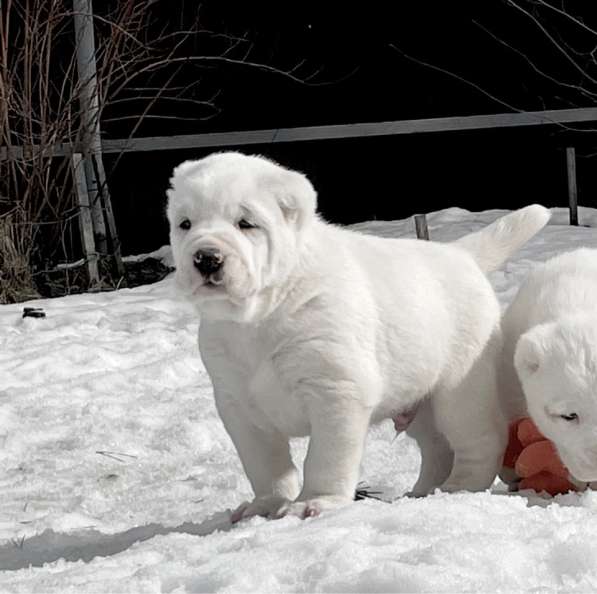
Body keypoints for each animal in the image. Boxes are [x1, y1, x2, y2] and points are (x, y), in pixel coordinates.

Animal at [166, 153, 548, 520]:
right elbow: (264, 464)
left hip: (460, 389)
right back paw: (421, 492)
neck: (258, 317)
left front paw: (314, 502)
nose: (206, 258)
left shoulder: (335, 390)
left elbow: (325, 458)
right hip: (418, 396)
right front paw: (264, 505)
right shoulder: (239, 405)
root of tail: (461, 253)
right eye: (185, 224)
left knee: (479, 440)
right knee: (437, 446)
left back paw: (459, 487)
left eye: (246, 223)